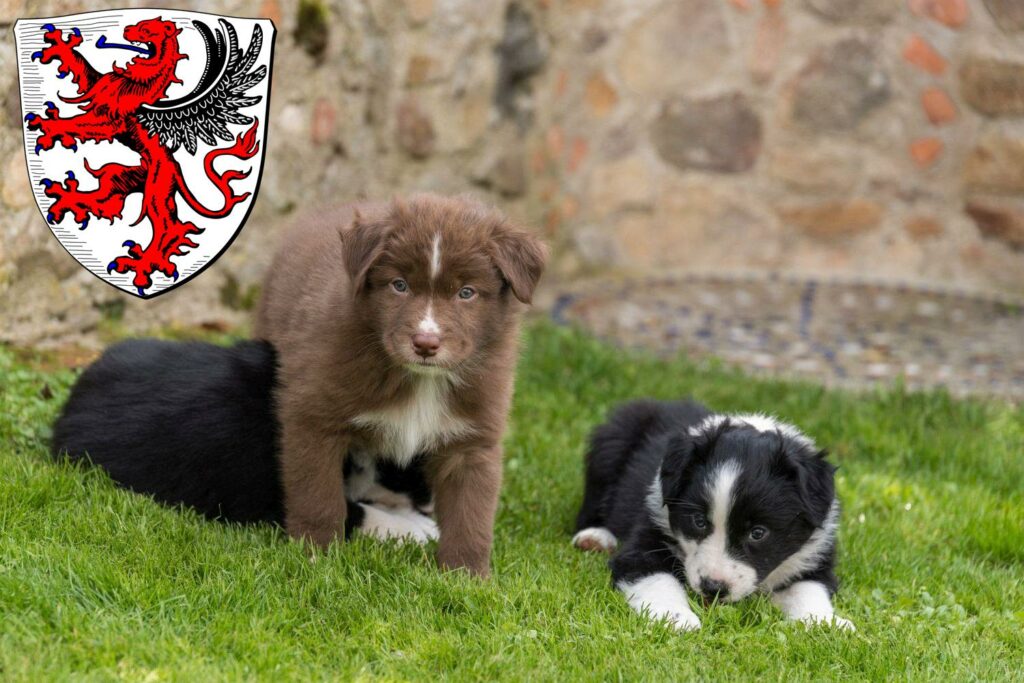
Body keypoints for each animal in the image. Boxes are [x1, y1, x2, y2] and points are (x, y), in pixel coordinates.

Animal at [25, 18, 266, 294]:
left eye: (147, 29)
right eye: (141, 24)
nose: (128, 30)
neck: (139, 82)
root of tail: (176, 169)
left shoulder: (110, 122)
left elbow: (77, 123)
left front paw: (50, 125)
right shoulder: (98, 87)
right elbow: (83, 69)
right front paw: (62, 47)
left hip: (156, 190)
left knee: (168, 227)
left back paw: (142, 265)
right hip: (128, 175)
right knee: (106, 197)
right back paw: (66, 197)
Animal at [253, 193, 544, 577]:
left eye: (466, 292)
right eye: (400, 285)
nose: (426, 343)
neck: (422, 380)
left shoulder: (472, 436)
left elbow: (470, 512)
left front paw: (465, 576)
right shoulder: (314, 415)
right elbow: (318, 495)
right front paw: (316, 554)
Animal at [573, 401, 851, 630]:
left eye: (758, 533)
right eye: (698, 521)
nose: (713, 588)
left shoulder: (814, 556)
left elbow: (808, 589)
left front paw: (825, 623)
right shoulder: (646, 539)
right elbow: (657, 579)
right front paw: (676, 618)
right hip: (611, 444)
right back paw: (594, 537)